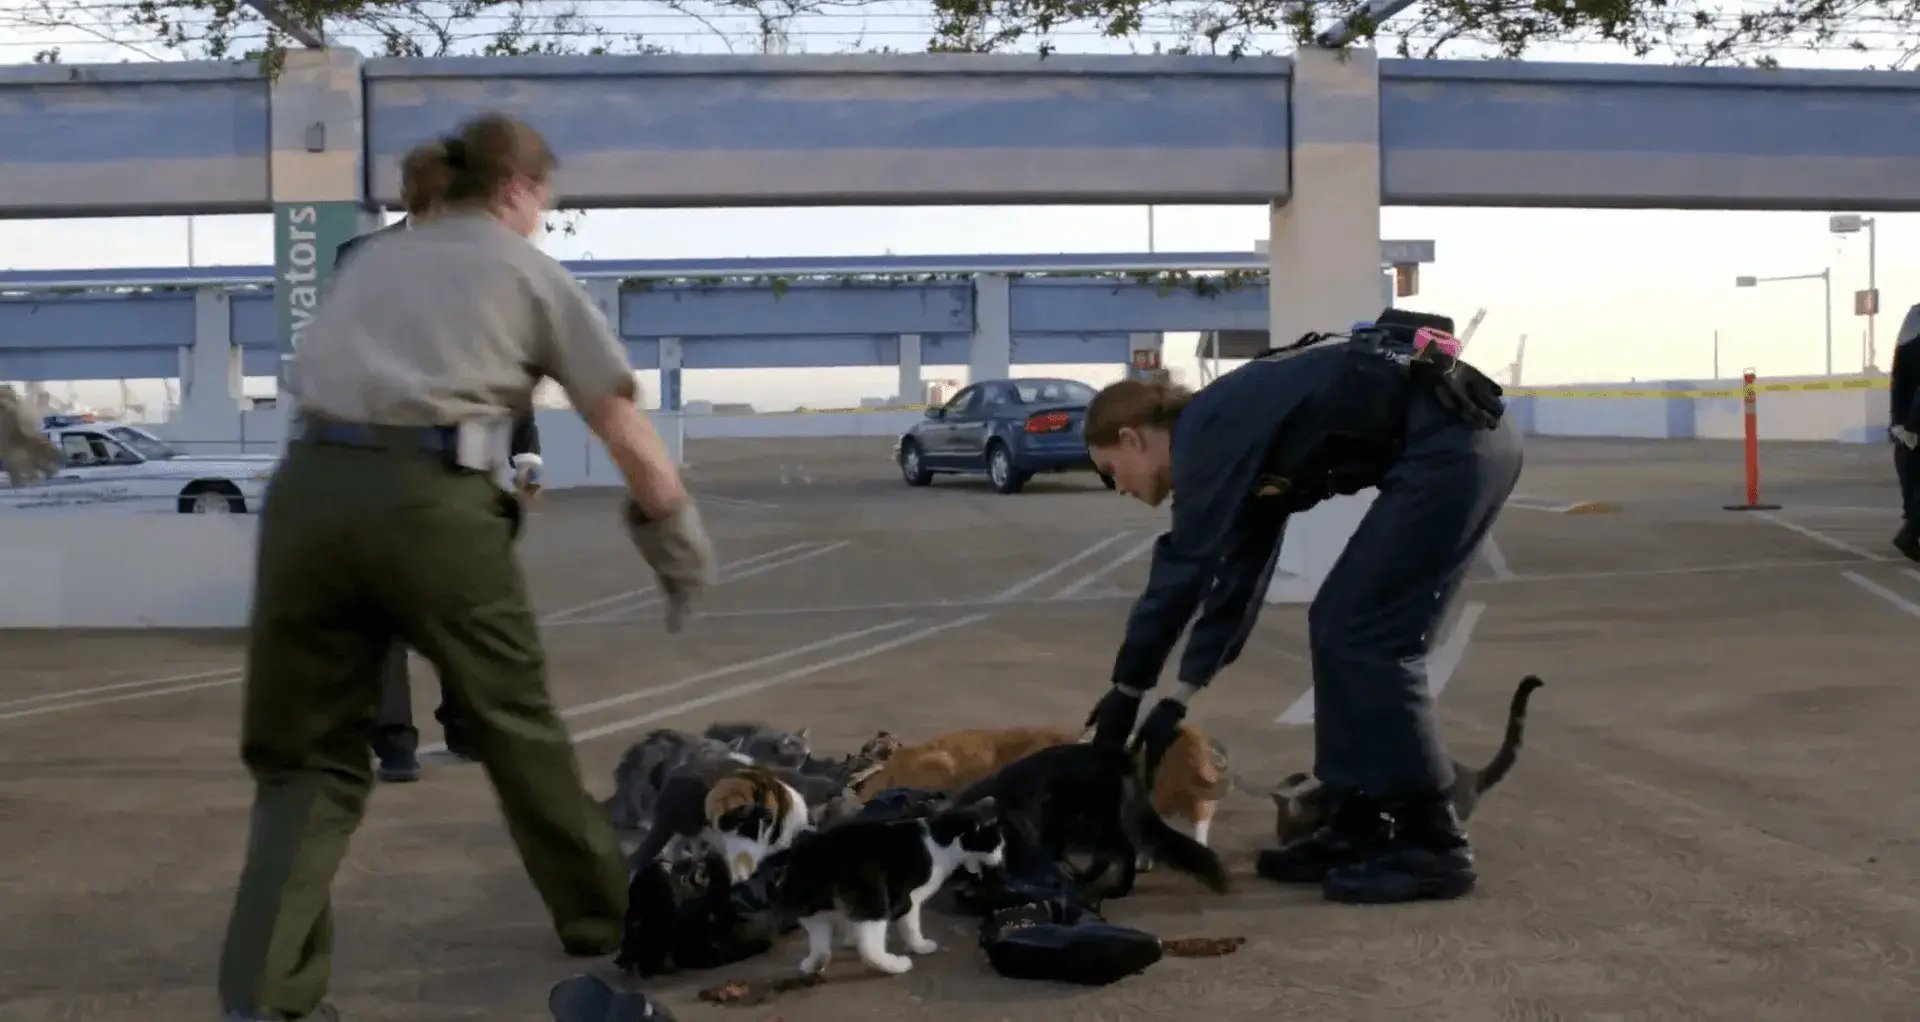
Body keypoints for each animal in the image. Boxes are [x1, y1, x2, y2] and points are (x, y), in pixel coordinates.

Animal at [771, 799, 1006, 975]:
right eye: (996, 845)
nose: (1001, 860)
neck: (942, 839)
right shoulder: (908, 899)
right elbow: (911, 927)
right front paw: (921, 947)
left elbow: (850, 925)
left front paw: (850, 938)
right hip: (872, 898)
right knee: (869, 950)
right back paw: (896, 965)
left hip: (811, 909)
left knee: (821, 945)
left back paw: (813, 964)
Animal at [948, 741, 1228, 895]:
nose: (959, 885)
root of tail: (1114, 757)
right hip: (1075, 817)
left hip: (1088, 817)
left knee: (1122, 848)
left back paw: (1118, 886)